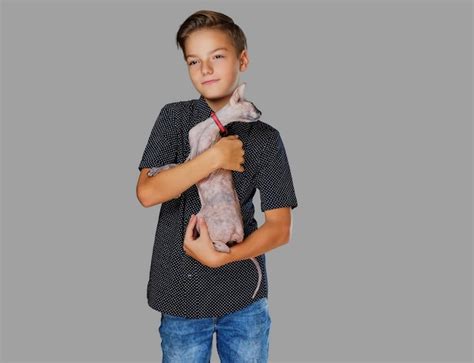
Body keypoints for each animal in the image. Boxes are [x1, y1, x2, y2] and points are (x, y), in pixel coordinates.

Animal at [148, 84, 262, 300]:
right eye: (253, 105)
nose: (261, 112)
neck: (209, 126)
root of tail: (239, 233)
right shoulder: (190, 158)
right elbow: (171, 165)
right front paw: (154, 170)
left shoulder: (202, 162)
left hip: (205, 220)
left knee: (226, 249)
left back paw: (214, 247)